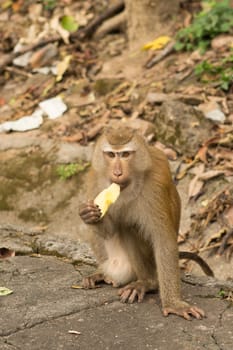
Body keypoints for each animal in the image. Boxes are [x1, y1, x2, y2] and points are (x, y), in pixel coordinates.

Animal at [79, 124, 214, 322]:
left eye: (125, 154)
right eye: (111, 155)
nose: (117, 173)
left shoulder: (155, 186)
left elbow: (163, 241)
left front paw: (174, 304)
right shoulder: (94, 180)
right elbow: (108, 230)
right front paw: (89, 215)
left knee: (129, 227)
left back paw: (147, 282)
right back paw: (104, 274)